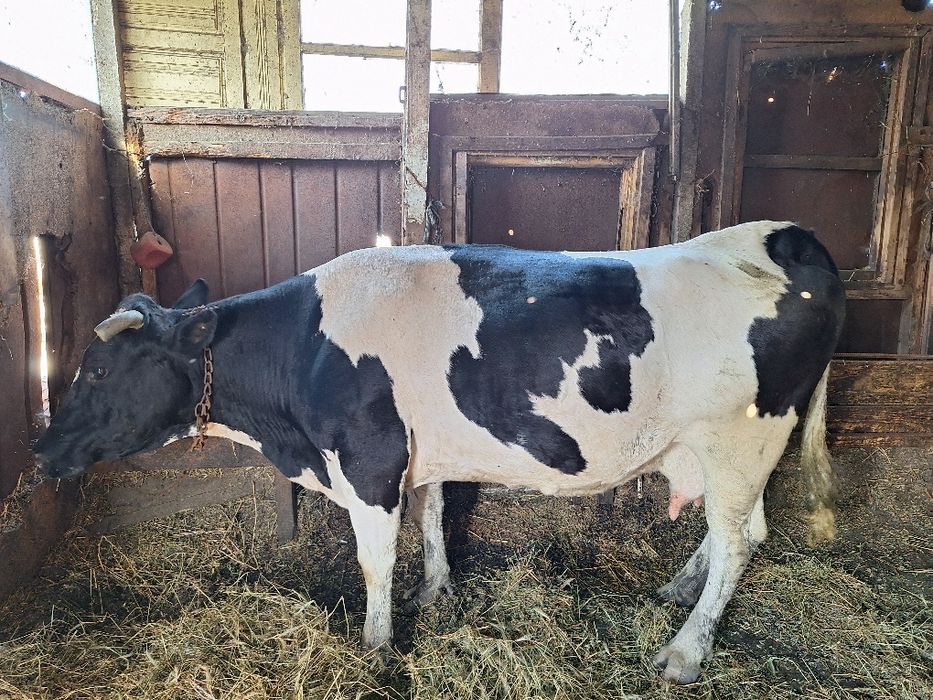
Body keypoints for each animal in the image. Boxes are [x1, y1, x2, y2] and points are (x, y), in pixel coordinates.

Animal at [34, 220, 845, 684]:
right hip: (728, 451)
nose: (40, 451)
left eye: (97, 369)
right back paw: (679, 591)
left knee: (739, 542)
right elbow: (427, 521)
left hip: (741, 437)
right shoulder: (411, 453)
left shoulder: (367, 459)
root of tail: (784, 235)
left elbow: (374, 561)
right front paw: (435, 592)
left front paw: (374, 646)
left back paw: (683, 653)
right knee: (739, 531)